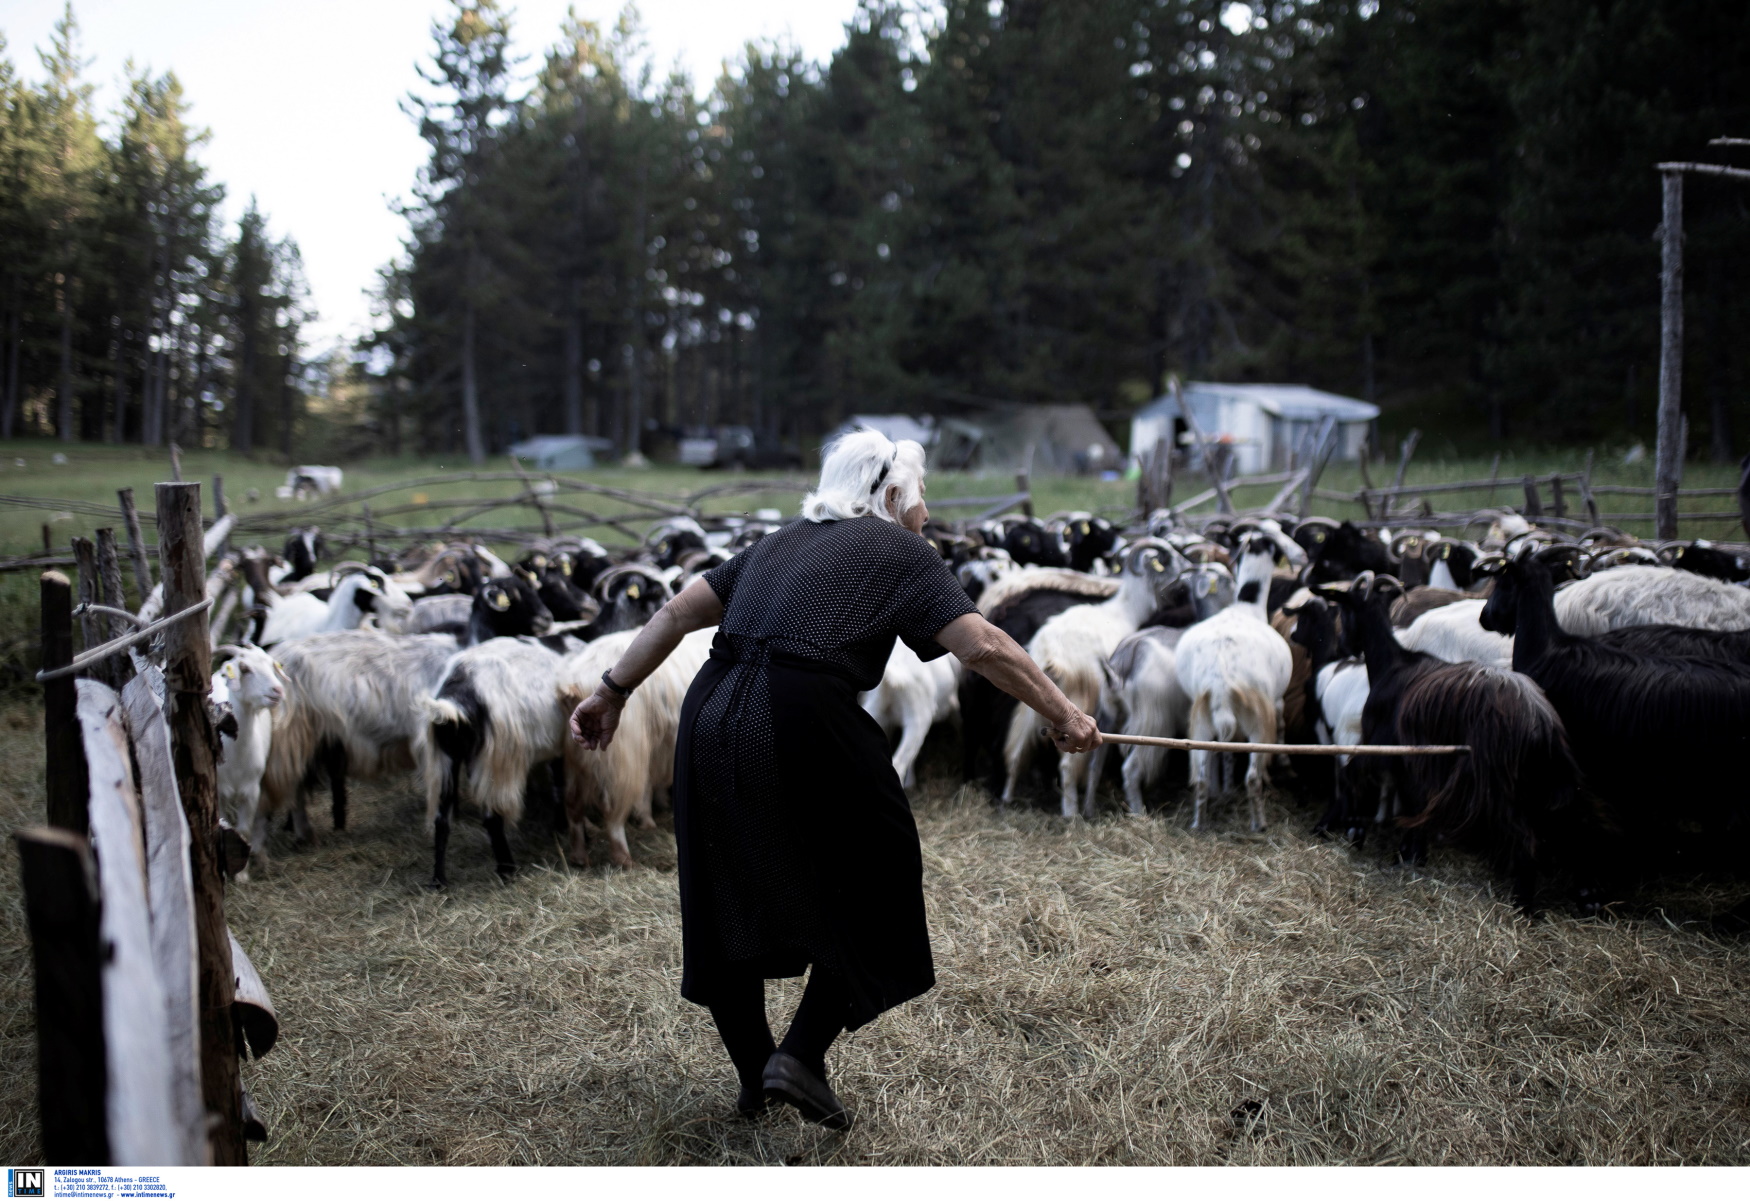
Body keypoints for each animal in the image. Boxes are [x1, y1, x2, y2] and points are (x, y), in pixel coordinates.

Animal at [556, 626, 714, 871]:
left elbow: (648, 788)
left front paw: (648, 820)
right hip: (617, 757)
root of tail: (575, 684)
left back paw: (580, 857)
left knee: (572, 803)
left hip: (579, 759)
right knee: (611, 809)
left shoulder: (652, 749)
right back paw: (623, 858)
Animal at [1001, 542, 1176, 819]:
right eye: (1169, 562)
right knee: (1068, 763)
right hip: (1078, 705)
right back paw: (1071, 813)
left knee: (1017, 748)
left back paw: (1007, 798)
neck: (1125, 610)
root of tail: (1052, 657)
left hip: (1031, 699)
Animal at [1169, 539, 1295, 833]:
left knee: (1201, 779)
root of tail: (1221, 679)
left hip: (1201, 724)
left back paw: (1198, 824)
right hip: (1257, 724)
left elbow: (1226, 754)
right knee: (1252, 778)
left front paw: (1226, 787)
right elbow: (1282, 725)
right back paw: (1259, 824)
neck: (1247, 605)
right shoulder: (1276, 701)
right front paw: (1284, 764)